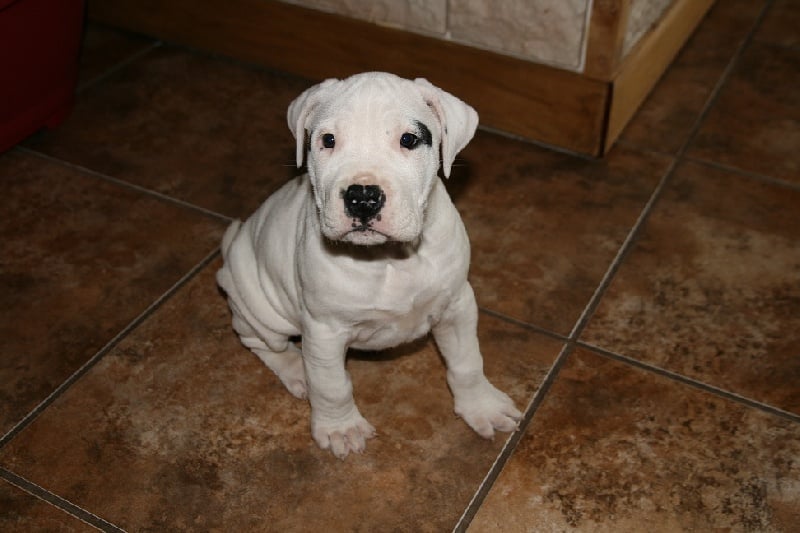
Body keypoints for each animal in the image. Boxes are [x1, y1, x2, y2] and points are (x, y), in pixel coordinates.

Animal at [217, 72, 521, 458]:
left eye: (409, 139)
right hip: (259, 304)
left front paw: (482, 406)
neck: (387, 258)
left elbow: (467, 361)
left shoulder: (457, 305)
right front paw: (341, 428)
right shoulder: (324, 331)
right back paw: (296, 368)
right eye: (328, 140)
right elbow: (332, 385)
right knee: (259, 341)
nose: (362, 197)